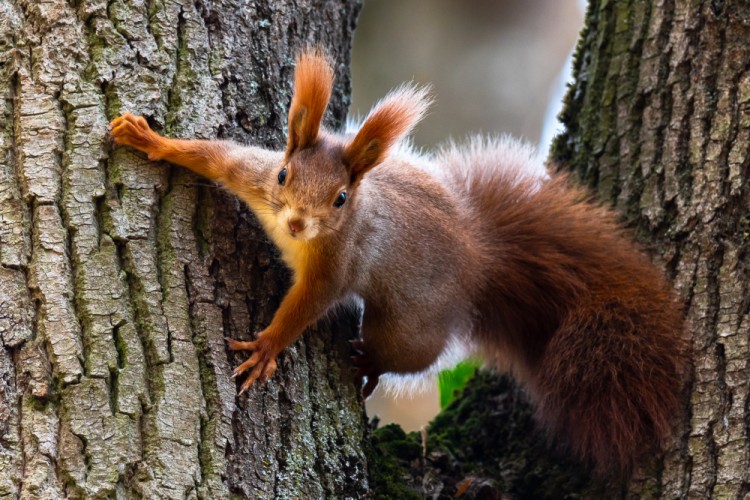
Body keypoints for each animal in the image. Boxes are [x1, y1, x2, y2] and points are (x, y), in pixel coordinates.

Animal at [108, 48, 692, 470]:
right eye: (283, 175)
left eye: (341, 199)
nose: (296, 223)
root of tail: (480, 260)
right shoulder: (247, 173)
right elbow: (211, 154)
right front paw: (149, 138)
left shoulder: (338, 263)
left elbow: (307, 306)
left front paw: (267, 348)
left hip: (409, 322)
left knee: (406, 354)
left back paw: (370, 364)